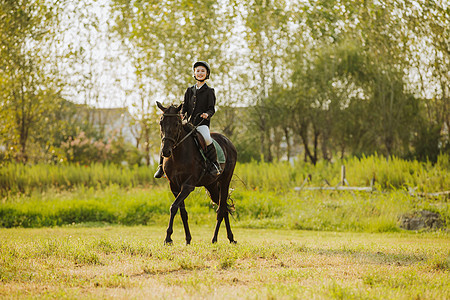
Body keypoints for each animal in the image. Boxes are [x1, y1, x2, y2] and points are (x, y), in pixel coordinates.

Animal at [156, 102, 237, 245]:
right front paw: (187, 239)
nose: (165, 151)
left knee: (221, 209)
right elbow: (182, 212)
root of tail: (228, 142)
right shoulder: (174, 187)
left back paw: (215, 238)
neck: (177, 155)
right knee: (223, 208)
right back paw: (230, 238)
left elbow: (173, 207)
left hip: (225, 181)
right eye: (161, 122)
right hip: (211, 185)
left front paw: (168, 238)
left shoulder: (188, 186)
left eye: (176, 123)